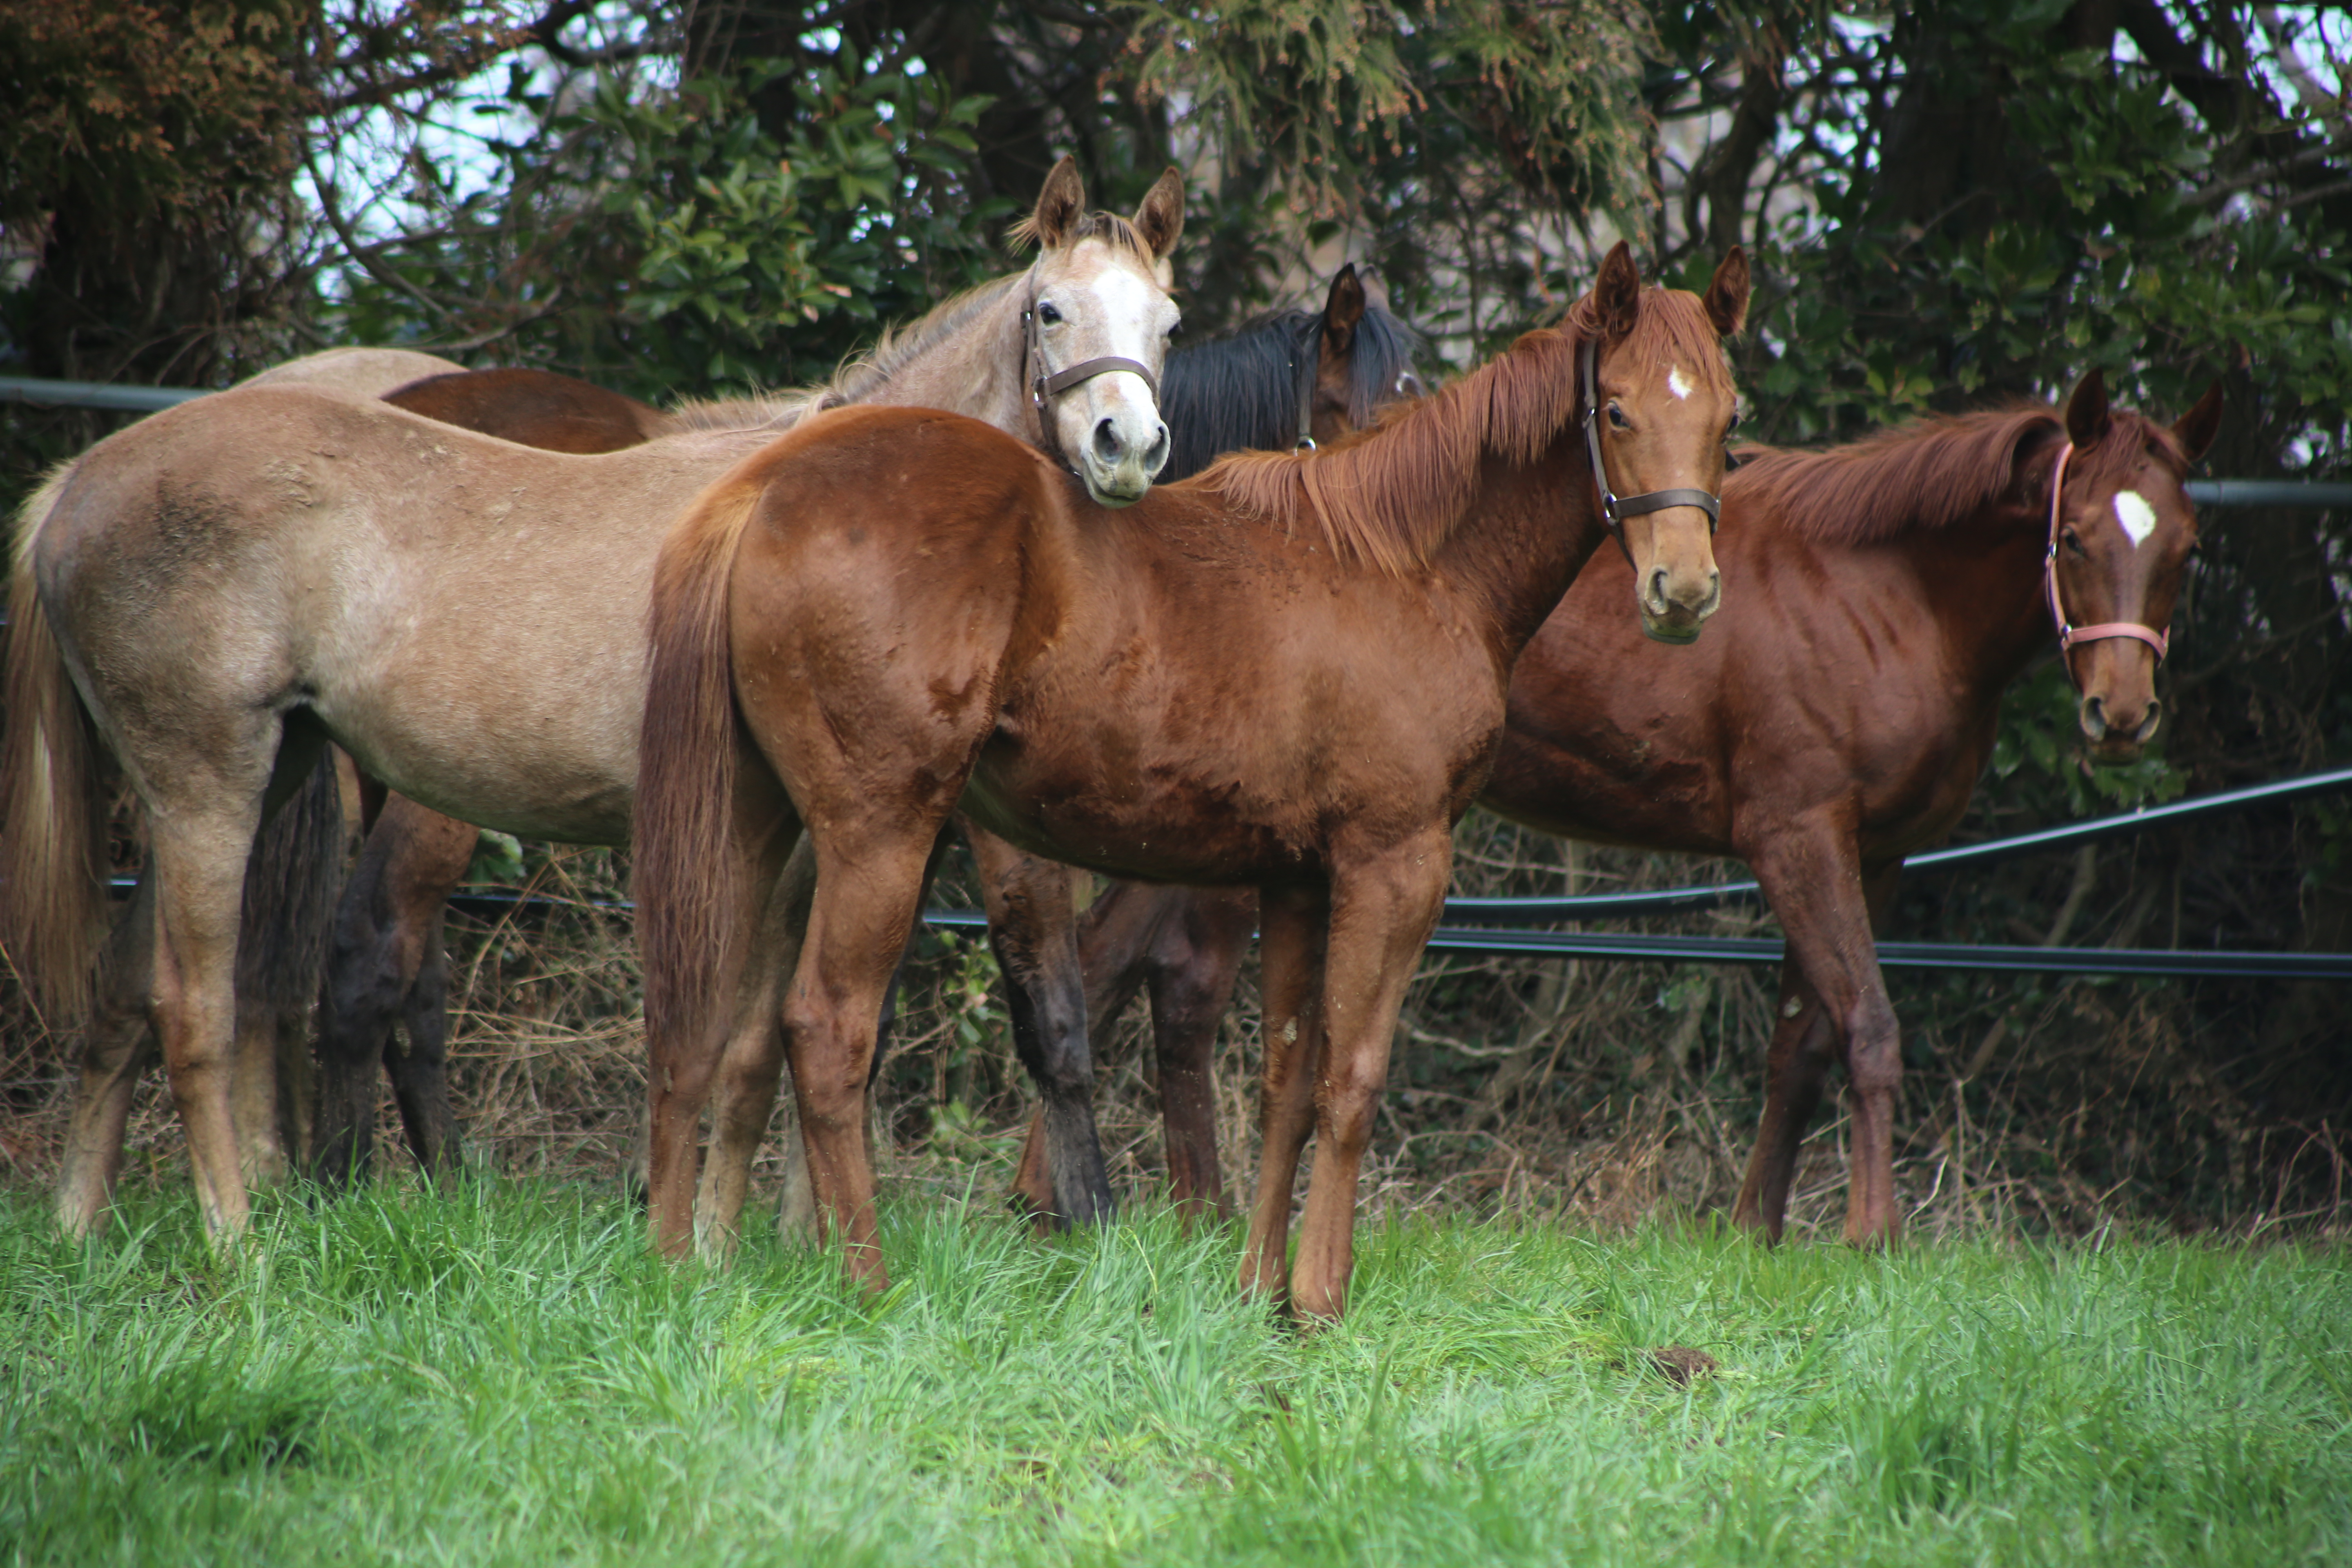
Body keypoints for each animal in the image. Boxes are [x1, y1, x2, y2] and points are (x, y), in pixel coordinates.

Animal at [0, 153, 1176, 1241]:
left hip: (237, 781)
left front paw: (748, 1244)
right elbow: (766, 1042)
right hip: (212, 791)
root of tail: (77, 487)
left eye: (1166, 321)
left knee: (122, 997)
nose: (1127, 447)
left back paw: (80, 1227)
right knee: (195, 1005)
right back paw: (240, 1247)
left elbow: (768, 1051)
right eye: (1049, 309)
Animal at [635, 242, 1759, 1316]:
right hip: (878, 835)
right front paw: (1320, 1298)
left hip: (757, 831)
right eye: (1615, 409)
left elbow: (1286, 1080)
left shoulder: (1296, 880)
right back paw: (867, 1286)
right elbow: (1351, 1078)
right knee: (825, 1032)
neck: (1400, 562)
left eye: (1727, 416)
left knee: (700, 1032)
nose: (1686, 590)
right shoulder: (1394, 864)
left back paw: (686, 1264)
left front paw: (1261, 1291)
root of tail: (765, 488)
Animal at [1020, 362, 2211, 1241]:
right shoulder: (1799, 837)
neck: (1875, 592)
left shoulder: (1870, 855)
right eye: (2072, 538)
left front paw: (1755, 1235)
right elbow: (1867, 1029)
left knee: (1136, 969)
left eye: (2184, 549)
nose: (2121, 713)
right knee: (1142, 971)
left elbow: (1799, 1048)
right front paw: (1871, 1242)